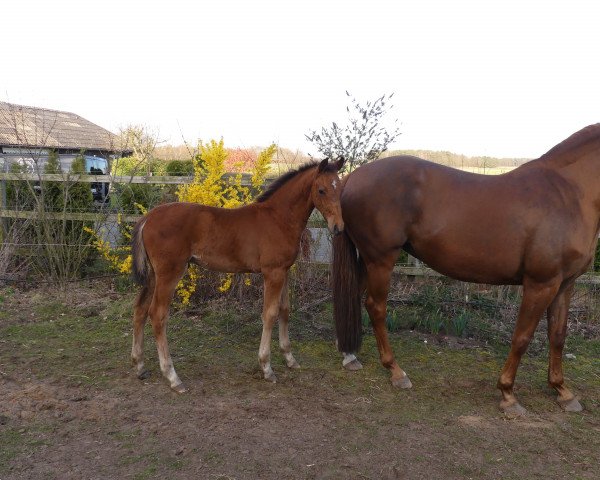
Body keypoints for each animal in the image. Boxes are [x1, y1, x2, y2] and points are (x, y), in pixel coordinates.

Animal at [133, 159, 344, 392]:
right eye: (321, 190)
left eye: (340, 188)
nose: (338, 227)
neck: (279, 218)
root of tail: (148, 217)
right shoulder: (273, 273)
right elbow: (270, 314)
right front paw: (266, 367)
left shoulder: (284, 271)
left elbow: (285, 310)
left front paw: (289, 358)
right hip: (170, 273)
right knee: (157, 315)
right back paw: (172, 376)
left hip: (154, 275)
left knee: (140, 309)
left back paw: (140, 366)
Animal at [336, 125, 596, 414]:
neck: (569, 194)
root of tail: (353, 176)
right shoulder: (541, 284)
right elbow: (522, 337)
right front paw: (508, 394)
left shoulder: (564, 284)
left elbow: (558, 336)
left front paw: (562, 391)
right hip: (381, 260)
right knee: (376, 307)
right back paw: (396, 371)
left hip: (366, 260)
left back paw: (350, 356)